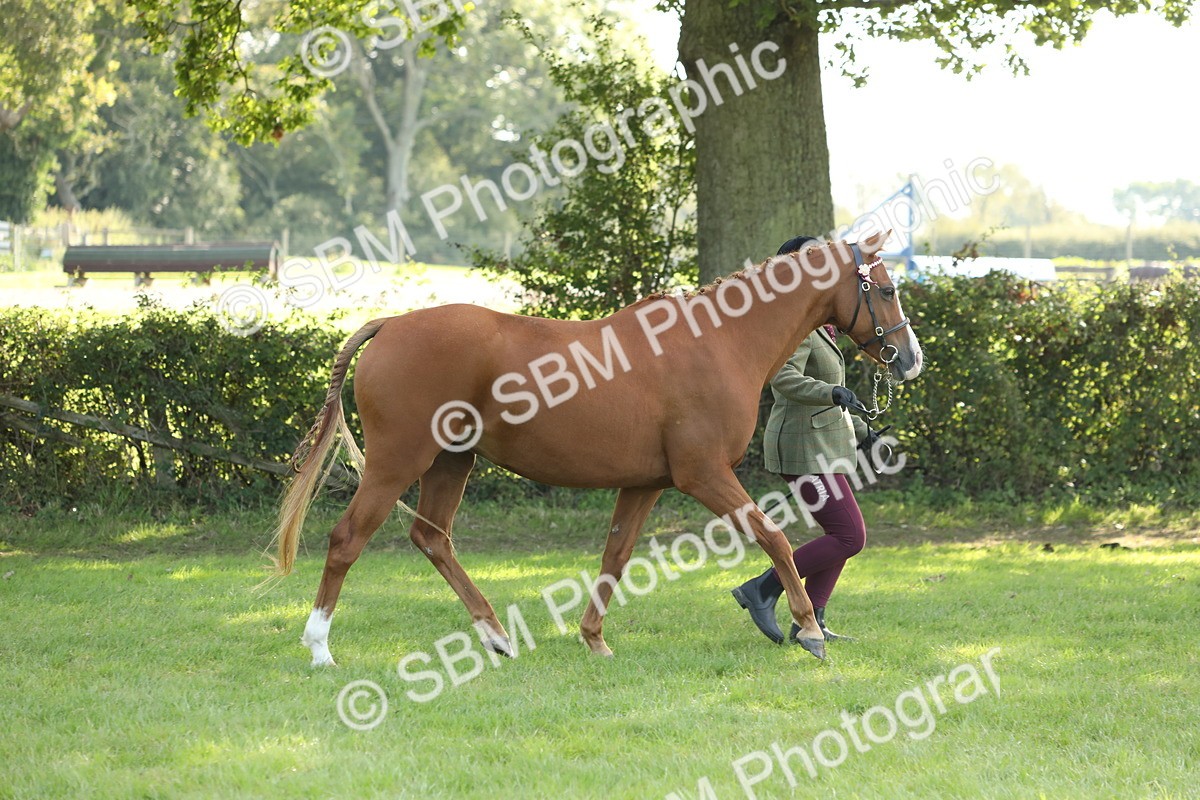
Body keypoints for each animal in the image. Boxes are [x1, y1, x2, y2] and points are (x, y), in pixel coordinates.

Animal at [270, 230, 923, 666]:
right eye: (888, 289)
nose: (910, 359)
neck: (717, 340)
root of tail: (391, 324)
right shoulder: (703, 474)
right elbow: (775, 537)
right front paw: (808, 629)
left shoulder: (645, 484)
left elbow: (615, 557)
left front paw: (594, 639)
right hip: (396, 463)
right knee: (347, 540)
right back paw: (320, 647)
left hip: (452, 462)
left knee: (432, 539)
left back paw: (496, 636)